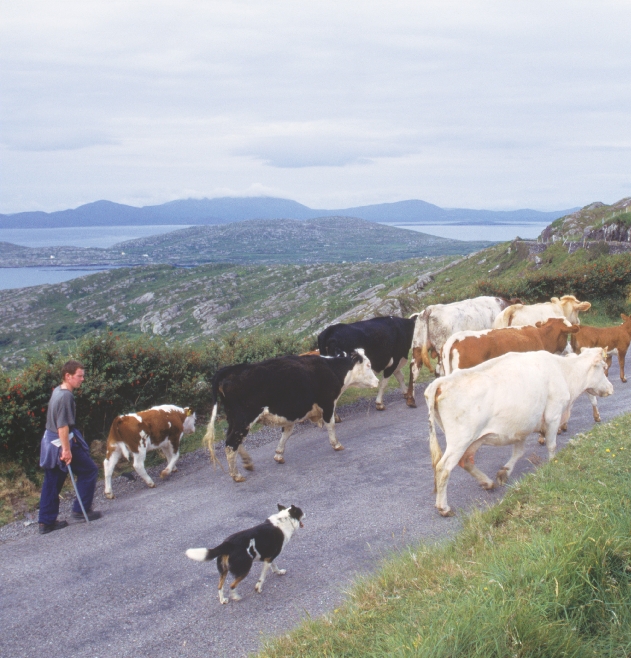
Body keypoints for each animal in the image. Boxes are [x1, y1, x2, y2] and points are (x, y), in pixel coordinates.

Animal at [205, 348, 378, 482]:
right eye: (368, 365)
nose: (377, 381)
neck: (331, 368)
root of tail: (231, 370)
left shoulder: (291, 413)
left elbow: (287, 433)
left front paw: (278, 455)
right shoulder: (327, 403)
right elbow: (331, 424)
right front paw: (336, 444)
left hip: (234, 419)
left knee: (234, 441)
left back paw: (247, 462)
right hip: (243, 419)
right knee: (231, 443)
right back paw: (236, 475)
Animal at [424, 346, 612, 516]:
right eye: (603, 367)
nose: (611, 388)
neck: (564, 371)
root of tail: (442, 382)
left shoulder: (521, 426)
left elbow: (519, 452)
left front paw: (504, 473)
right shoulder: (553, 415)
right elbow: (551, 445)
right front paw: (553, 465)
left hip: (473, 439)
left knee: (465, 461)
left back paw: (487, 482)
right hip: (460, 440)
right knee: (443, 468)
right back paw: (443, 507)